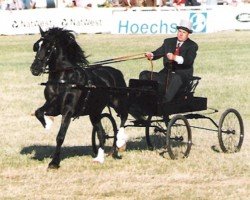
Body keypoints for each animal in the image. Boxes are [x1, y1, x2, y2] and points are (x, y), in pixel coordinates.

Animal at [31, 26, 128, 167]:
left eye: (48, 48)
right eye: (36, 46)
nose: (34, 69)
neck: (63, 80)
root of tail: (115, 72)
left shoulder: (68, 110)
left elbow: (60, 136)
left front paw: (54, 163)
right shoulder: (53, 107)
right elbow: (38, 111)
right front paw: (48, 124)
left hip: (118, 103)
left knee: (123, 117)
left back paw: (120, 140)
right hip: (94, 112)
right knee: (101, 134)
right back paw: (99, 158)